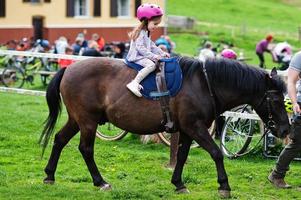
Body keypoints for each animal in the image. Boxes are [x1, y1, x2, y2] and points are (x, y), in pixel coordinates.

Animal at [39, 56, 288, 198]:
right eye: (276, 99)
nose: (285, 130)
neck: (204, 84)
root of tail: (69, 69)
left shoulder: (187, 130)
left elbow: (182, 156)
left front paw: (178, 183)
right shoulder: (195, 127)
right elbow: (216, 153)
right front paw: (224, 185)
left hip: (77, 120)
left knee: (59, 139)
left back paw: (50, 175)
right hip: (88, 121)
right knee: (86, 149)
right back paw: (100, 182)